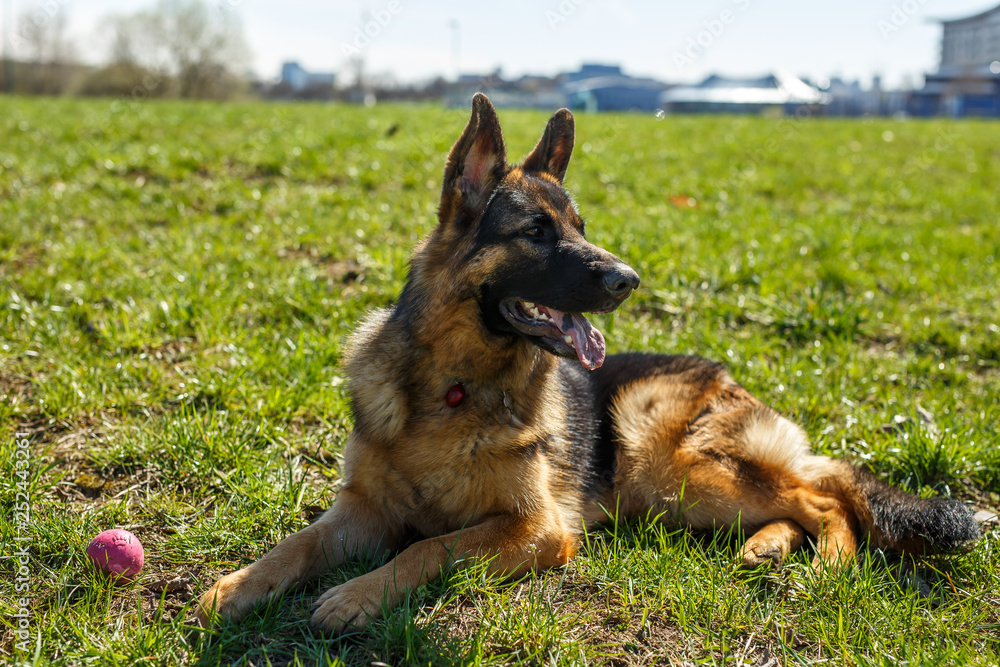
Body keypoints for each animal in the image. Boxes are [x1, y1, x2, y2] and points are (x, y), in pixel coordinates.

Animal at [199, 92, 980, 632]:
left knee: (825, 499)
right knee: (801, 499)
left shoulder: (533, 527)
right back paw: (768, 547)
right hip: (672, 493)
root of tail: (722, 375)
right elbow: (296, 544)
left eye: (581, 228)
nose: (629, 278)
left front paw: (355, 596)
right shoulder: (360, 510)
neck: (455, 388)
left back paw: (826, 567)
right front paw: (235, 587)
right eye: (537, 232)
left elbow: (425, 548)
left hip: (665, 462)